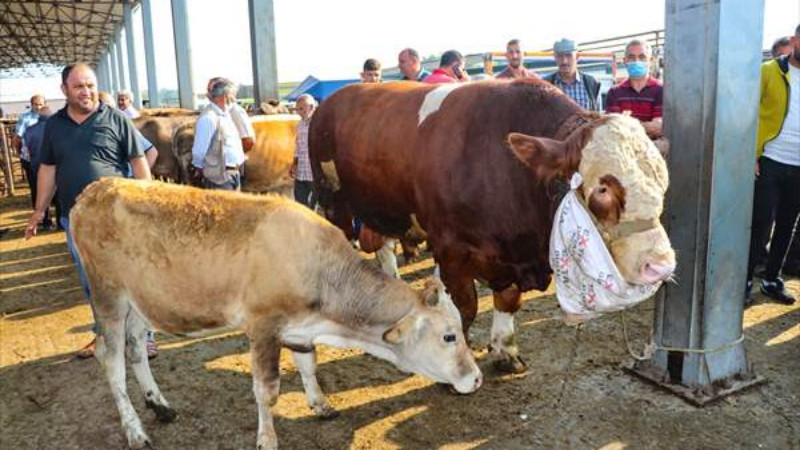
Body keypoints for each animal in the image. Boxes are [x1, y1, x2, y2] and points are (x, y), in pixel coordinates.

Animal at [70, 178, 482, 450]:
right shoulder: (263, 326)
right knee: (111, 358)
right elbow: (266, 390)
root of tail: (95, 188)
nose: (476, 379)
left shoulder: (300, 330)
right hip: (108, 295)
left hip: (140, 301)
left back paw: (160, 405)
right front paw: (267, 438)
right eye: (449, 335)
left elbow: (308, 365)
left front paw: (321, 405)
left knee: (136, 347)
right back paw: (135, 430)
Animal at [310, 78, 676, 372]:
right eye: (602, 188)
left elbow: (508, 301)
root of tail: (333, 98)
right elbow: (465, 309)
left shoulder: (511, 257)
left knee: (385, 248)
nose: (660, 266)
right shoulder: (451, 250)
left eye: (664, 180)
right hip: (333, 201)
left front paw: (505, 350)